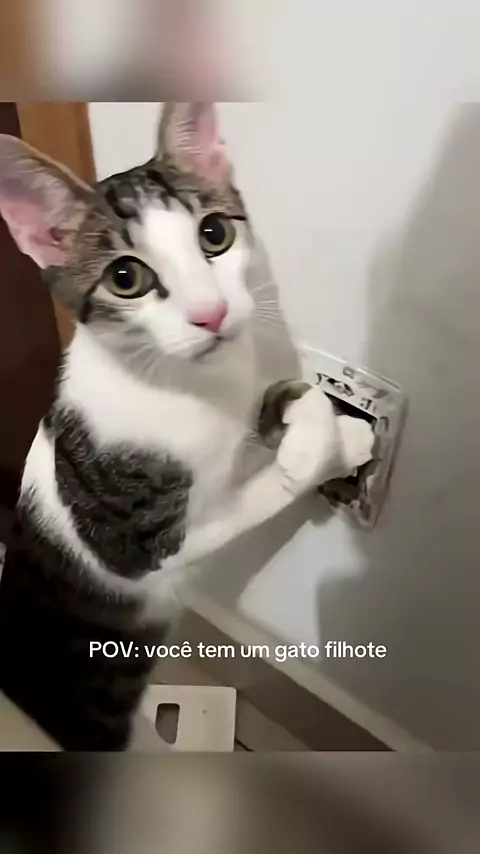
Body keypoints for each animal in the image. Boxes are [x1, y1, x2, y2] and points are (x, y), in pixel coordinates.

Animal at [0, 103, 373, 750]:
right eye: (126, 278)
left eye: (214, 234)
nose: (212, 314)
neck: (175, 381)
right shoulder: (144, 545)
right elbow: (257, 494)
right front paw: (325, 452)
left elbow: (279, 404)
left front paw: (320, 431)